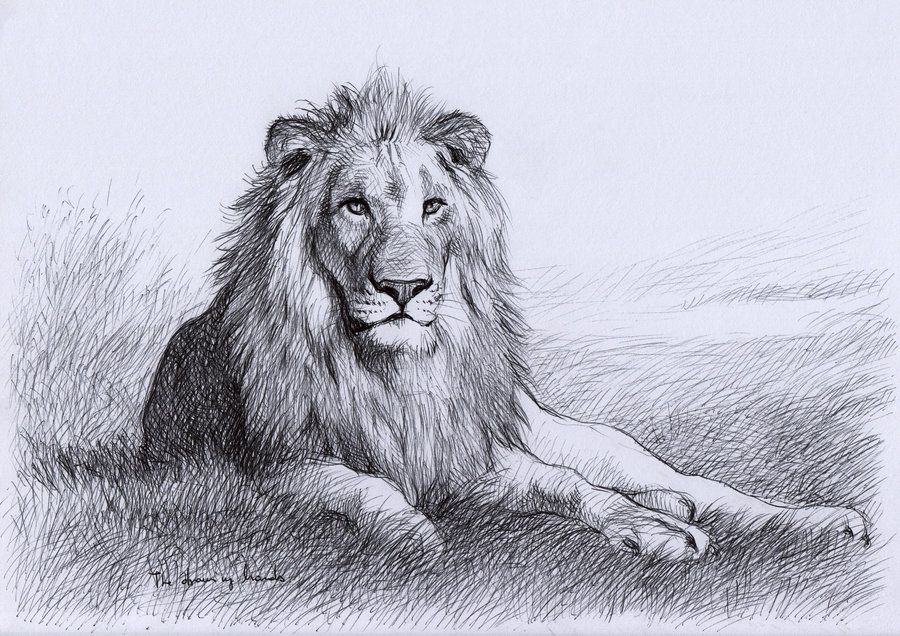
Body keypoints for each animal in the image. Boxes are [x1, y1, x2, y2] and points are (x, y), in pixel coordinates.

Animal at [139, 70, 869, 560]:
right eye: (354, 206)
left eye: (433, 206)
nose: (404, 287)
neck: (396, 373)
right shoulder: (267, 470)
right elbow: (362, 486)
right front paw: (410, 533)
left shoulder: (479, 459)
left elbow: (573, 488)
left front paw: (653, 530)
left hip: (588, 440)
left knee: (693, 485)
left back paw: (817, 521)